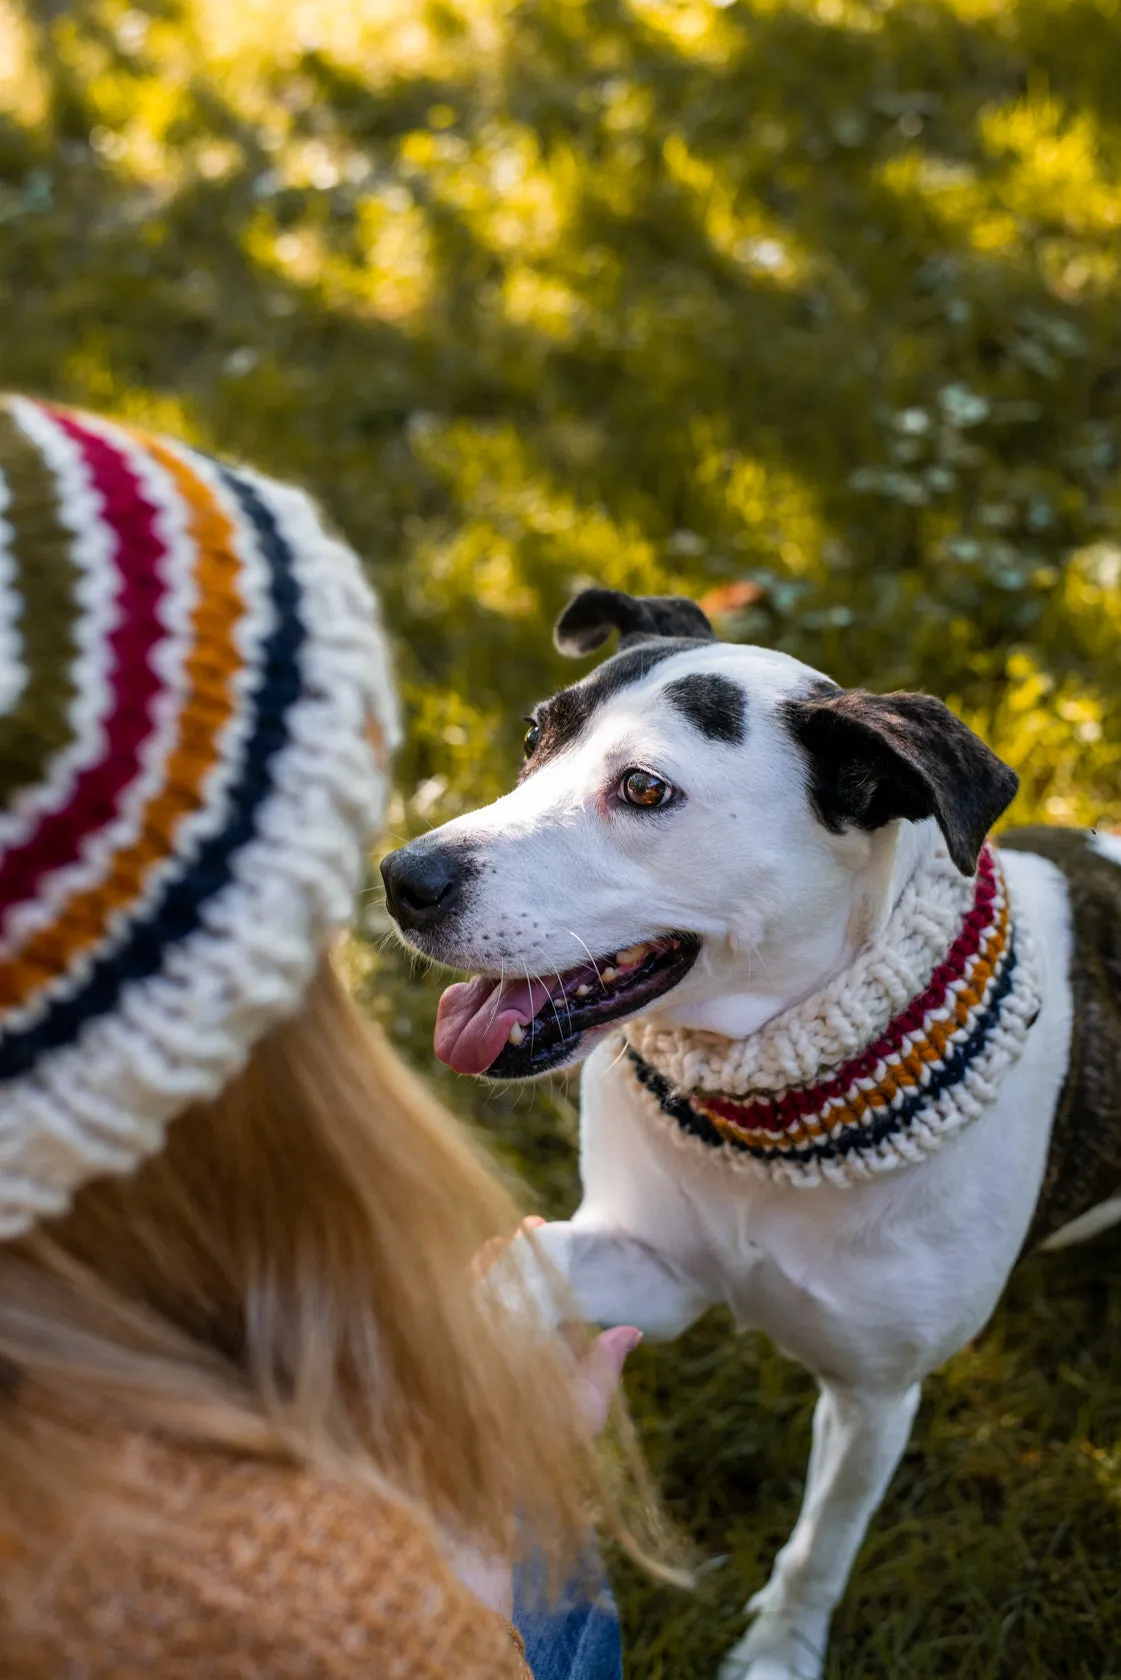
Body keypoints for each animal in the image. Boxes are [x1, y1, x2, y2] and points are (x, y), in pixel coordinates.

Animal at [379, 591, 1121, 1680]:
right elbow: (510, 1275)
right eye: (532, 738)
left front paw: (777, 1651)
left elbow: (820, 1543)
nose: (403, 876)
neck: (762, 1100)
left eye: (644, 790)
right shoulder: (655, 1265)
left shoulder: (872, 1393)